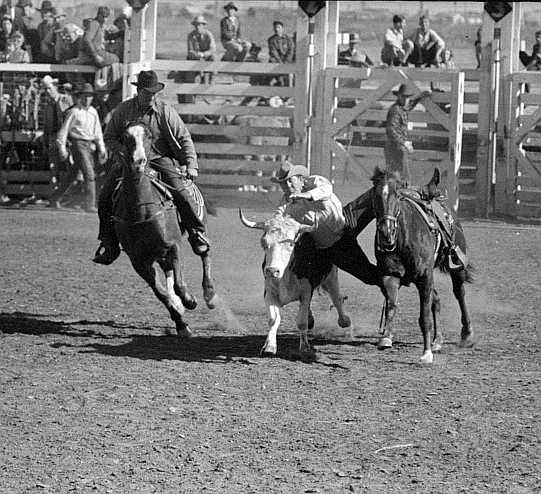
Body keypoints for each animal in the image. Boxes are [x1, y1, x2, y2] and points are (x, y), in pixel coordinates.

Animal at [112, 121, 217, 338]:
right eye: (125, 137)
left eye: (150, 136)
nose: (138, 162)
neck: (142, 211)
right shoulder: (138, 261)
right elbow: (160, 294)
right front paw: (181, 323)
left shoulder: (173, 245)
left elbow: (178, 284)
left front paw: (189, 300)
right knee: (168, 272)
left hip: (196, 229)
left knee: (203, 252)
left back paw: (209, 294)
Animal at [372, 168, 472, 364]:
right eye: (376, 194)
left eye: (397, 195)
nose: (386, 232)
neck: (404, 238)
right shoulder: (390, 275)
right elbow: (392, 304)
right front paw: (386, 337)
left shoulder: (424, 277)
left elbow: (424, 317)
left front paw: (426, 354)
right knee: (436, 299)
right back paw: (437, 340)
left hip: (456, 266)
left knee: (459, 293)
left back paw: (466, 334)